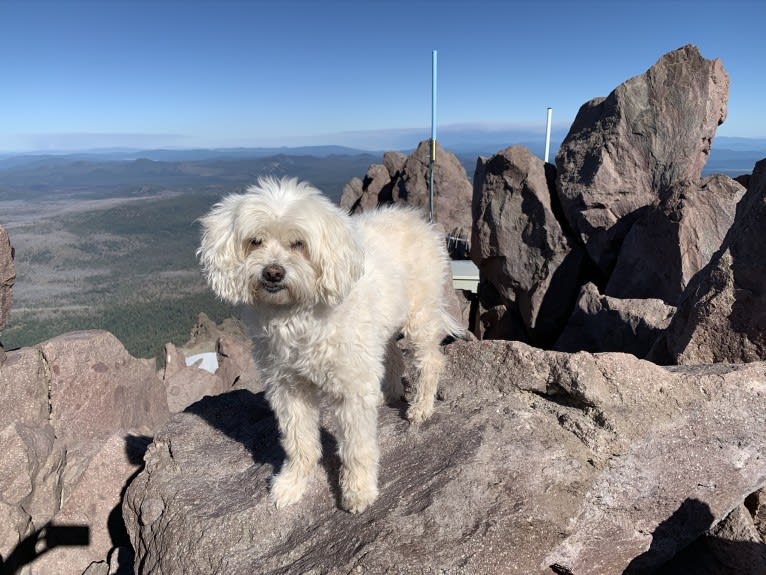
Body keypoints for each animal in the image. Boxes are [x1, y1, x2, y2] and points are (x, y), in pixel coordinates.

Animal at [198, 178, 462, 516]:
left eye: (298, 243)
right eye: (255, 241)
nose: (273, 272)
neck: (296, 314)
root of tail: (416, 218)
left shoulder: (350, 386)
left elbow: (356, 446)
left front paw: (358, 490)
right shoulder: (287, 386)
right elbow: (299, 441)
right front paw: (292, 483)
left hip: (420, 315)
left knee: (429, 360)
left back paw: (421, 408)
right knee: (390, 355)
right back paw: (387, 392)